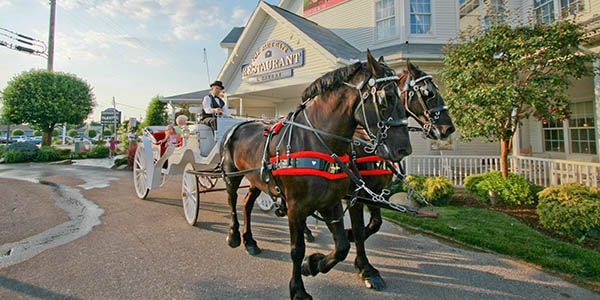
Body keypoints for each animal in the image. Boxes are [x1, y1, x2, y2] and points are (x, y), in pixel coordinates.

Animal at [220, 50, 412, 298]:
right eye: (386, 98)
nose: (404, 149)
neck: (317, 141)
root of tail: (240, 124)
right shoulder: (296, 206)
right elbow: (297, 249)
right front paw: (298, 289)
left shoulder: (332, 202)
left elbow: (342, 246)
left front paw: (313, 265)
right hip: (232, 175)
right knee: (232, 201)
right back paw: (234, 235)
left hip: (257, 180)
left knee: (246, 204)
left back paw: (250, 241)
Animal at [344, 59, 458, 290]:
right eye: (428, 92)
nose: (448, 128)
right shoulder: (356, 194)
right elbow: (360, 230)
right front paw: (366, 268)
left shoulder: (374, 191)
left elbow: (375, 223)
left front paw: (351, 240)